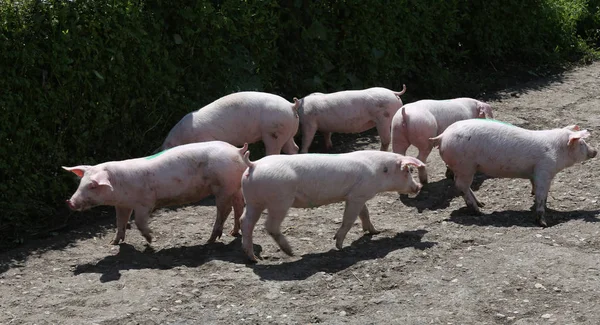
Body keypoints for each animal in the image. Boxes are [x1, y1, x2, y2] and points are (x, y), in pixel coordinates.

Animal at [62, 140, 247, 244]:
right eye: (81, 182)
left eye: (92, 185)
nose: (70, 202)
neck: (119, 186)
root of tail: (238, 151)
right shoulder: (122, 204)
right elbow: (120, 222)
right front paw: (113, 243)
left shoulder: (146, 202)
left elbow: (138, 221)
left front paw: (151, 240)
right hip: (235, 186)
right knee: (239, 205)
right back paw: (233, 233)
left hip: (224, 186)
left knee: (225, 210)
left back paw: (210, 240)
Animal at [159, 91, 300, 156]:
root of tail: (291, 105)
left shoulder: (204, 138)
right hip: (288, 131)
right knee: (294, 148)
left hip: (274, 131)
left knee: (274, 150)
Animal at [237, 149, 424, 260]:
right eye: (408, 171)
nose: (418, 187)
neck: (380, 171)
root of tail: (253, 165)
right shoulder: (357, 195)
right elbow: (349, 219)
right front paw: (338, 245)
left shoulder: (356, 196)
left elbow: (365, 213)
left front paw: (375, 232)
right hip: (280, 201)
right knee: (269, 226)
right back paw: (292, 252)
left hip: (253, 201)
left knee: (245, 222)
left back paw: (253, 258)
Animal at [428, 117, 596, 227]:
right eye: (582, 143)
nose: (595, 151)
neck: (557, 150)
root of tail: (442, 136)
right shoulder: (544, 170)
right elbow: (541, 194)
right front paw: (543, 223)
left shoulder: (535, 173)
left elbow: (537, 189)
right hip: (465, 166)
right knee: (461, 185)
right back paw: (478, 211)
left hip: (465, 167)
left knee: (463, 185)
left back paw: (482, 204)